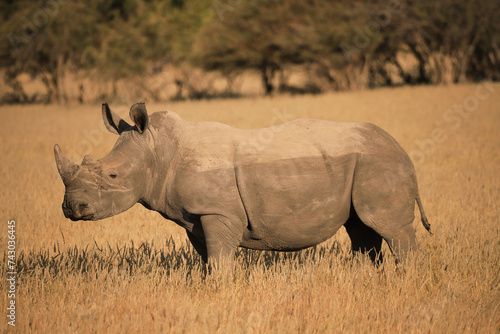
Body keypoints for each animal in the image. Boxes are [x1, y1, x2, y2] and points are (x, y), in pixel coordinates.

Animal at [53, 103, 430, 270]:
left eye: (112, 177)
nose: (71, 208)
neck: (159, 150)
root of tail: (401, 149)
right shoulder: (196, 215)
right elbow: (209, 257)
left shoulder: (218, 212)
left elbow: (220, 258)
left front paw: (217, 289)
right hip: (363, 164)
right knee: (361, 228)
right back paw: (364, 276)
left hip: (379, 164)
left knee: (388, 227)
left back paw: (406, 279)